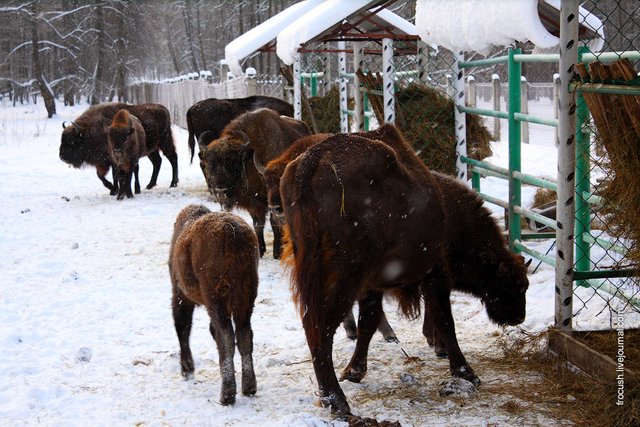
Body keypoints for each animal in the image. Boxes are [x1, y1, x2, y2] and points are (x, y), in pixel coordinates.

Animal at [170, 206, 262, 406]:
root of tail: (232, 233)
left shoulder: (180, 295)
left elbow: (182, 327)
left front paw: (187, 369)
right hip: (246, 295)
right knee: (244, 334)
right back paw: (249, 387)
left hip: (217, 296)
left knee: (226, 336)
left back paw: (227, 394)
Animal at [200, 108, 310, 260]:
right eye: (210, 164)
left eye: (232, 163)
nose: (221, 191)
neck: (250, 158)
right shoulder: (254, 203)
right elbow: (258, 224)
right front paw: (260, 251)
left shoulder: (272, 201)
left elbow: (274, 223)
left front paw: (277, 252)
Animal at [280, 135, 476, 418]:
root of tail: (314, 158)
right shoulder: (436, 268)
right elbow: (445, 319)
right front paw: (465, 372)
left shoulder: (372, 286)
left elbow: (368, 322)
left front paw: (354, 370)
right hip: (347, 273)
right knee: (321, 325)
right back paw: (337, 401)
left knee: (314, 322)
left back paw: (331, 397)